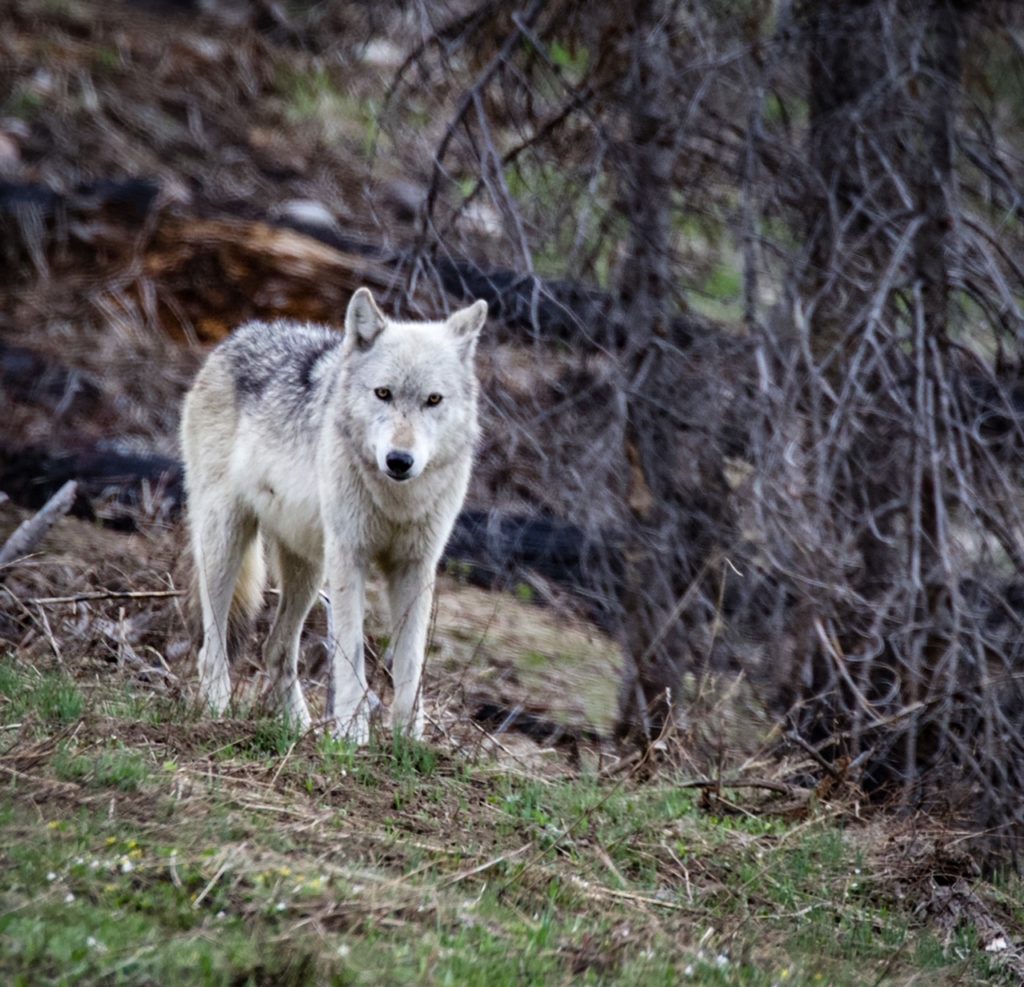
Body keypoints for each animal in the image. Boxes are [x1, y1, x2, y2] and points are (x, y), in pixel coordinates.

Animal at [179, 288, 487, 745]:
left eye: (433, 400)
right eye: (383, 393)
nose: (399, 460)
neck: (396, 499)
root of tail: (237, 336)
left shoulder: (415, 566)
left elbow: (411, 663)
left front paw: (409, 742)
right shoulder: (350, 558)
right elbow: (351, 655)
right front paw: (353, 736)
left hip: (307, 568)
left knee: (275, 650)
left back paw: (298, 727)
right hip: (226, 542)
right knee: (212, 644)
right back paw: (216, 710)